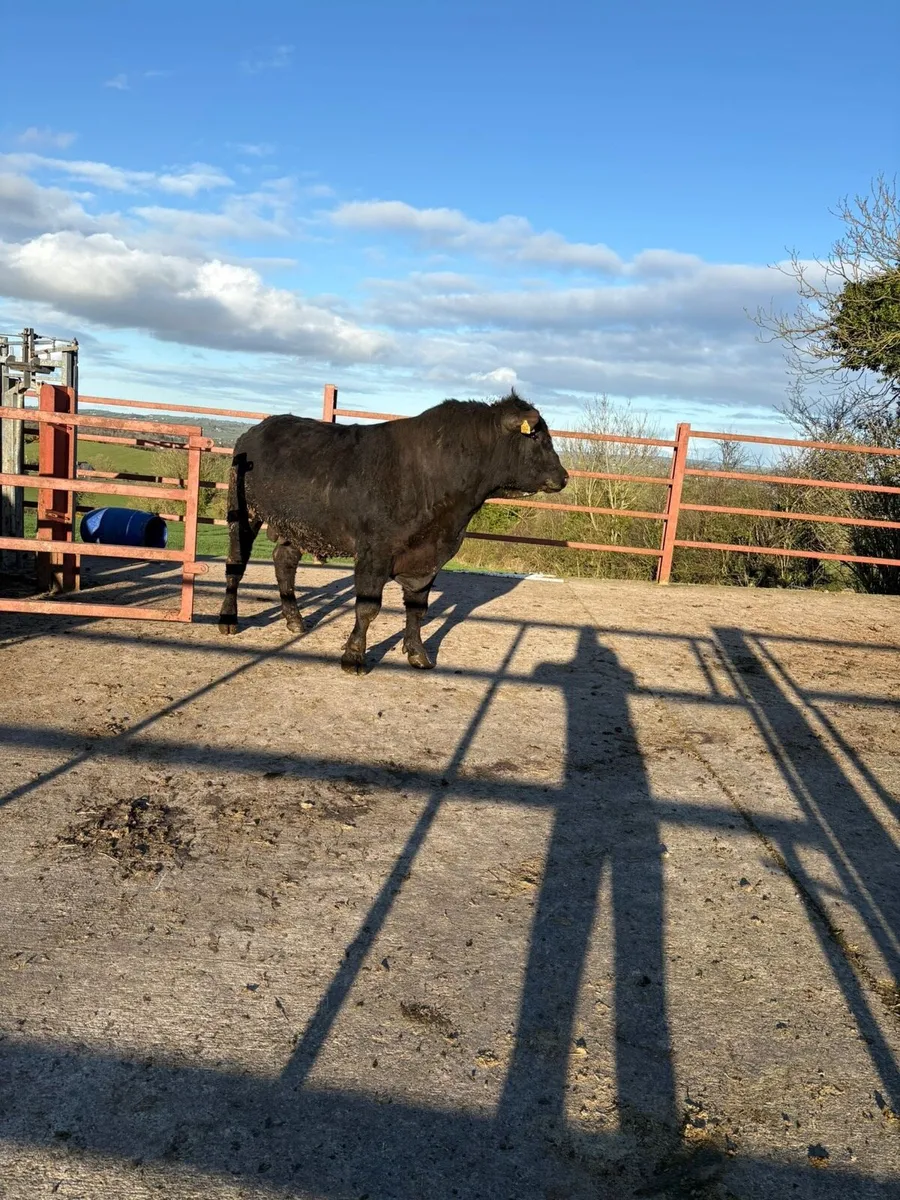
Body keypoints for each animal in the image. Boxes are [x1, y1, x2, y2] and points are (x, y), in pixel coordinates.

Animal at [218, 390, 568, 674]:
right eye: (537, 437)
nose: (564, 476)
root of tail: (258, 428)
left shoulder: (428, 556)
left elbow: (418, 608)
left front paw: (418, 653)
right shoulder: (374, 551)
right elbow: (368, 607)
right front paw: (354, 656)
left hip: (296, 524)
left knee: (284, 561)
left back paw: (294, 620)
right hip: (242, 511)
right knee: (236, 563)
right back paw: (228, 620)